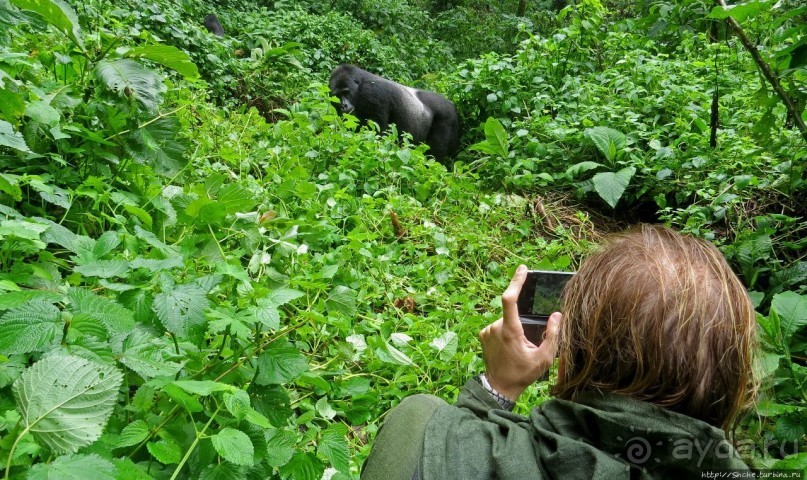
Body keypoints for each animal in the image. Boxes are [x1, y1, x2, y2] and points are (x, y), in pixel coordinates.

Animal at [326, 63, 458, 162]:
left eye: (346, 92)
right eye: (338, 95)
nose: (343, 105)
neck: (359, 86)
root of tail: (451, 104)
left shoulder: (372, 94)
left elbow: (376, 133)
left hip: (447, 116)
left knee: (436, 152)